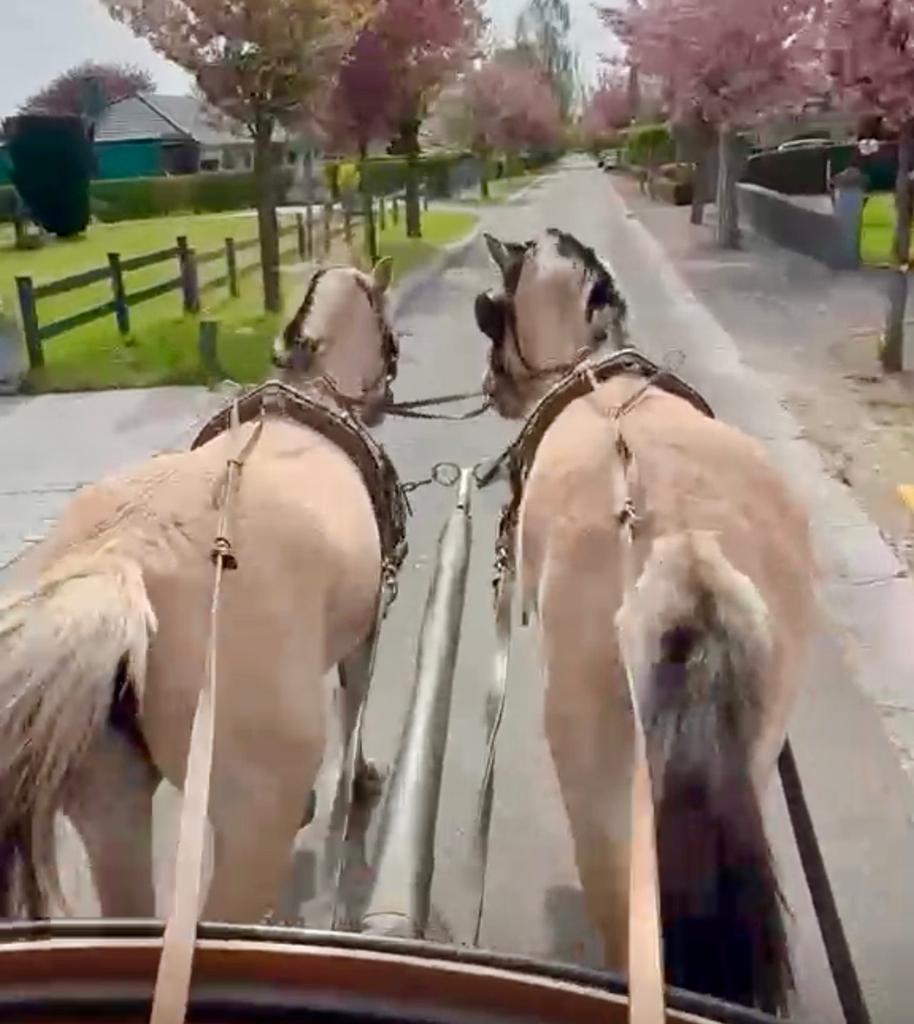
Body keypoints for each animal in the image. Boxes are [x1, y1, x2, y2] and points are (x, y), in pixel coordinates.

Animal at [0, 258, 404, 926]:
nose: (384, 398)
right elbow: (356, 710)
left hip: (109, 804)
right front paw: (363, 778)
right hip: (251, 822)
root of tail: (121, 564)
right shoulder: (367, 631)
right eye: (390, 335)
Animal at [474, 230, 817, 1013]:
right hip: (753, 752)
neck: (589, 370)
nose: (489, 387)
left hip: (594, 779)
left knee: (623, 911)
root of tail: (688, 549)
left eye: (492, 310)